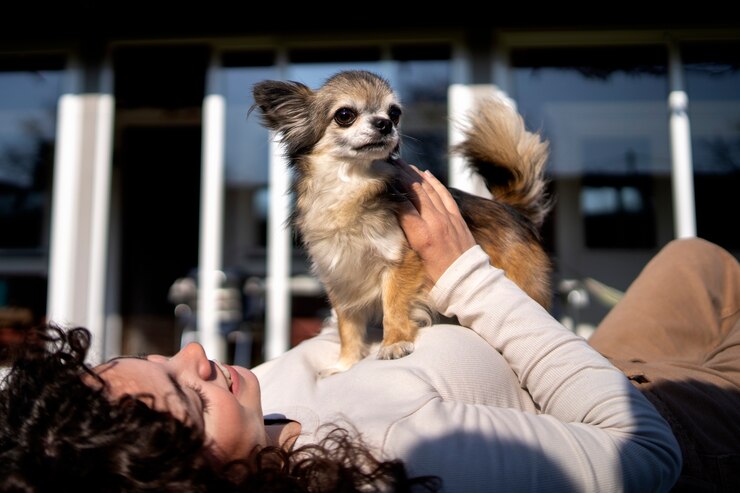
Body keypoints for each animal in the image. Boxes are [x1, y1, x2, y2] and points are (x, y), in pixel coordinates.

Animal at [253, 69, 548, 374]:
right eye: (345, 114)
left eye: (394, 113)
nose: (384, 123)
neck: (351, 186)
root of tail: (511, 209)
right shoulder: (341, 278)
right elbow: (348, 327)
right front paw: (346, 363)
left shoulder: (399, 262)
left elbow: (393, 307)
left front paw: (394, 343)